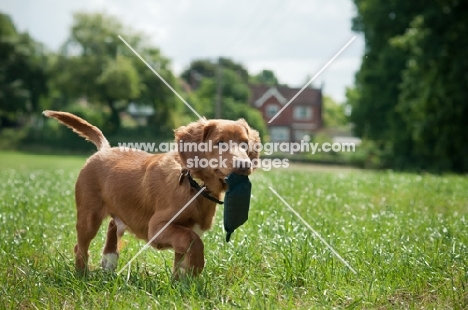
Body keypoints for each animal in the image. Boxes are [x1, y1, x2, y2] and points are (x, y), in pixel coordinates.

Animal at [43, 110, 260, 278]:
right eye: (220, 143)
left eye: (245, 145)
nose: (244, 166)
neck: (195, 187)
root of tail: (105, 149)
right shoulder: (157, 228)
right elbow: (194, 241)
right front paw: (197, 268)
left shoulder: (185, 229)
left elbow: (183, 254)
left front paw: (181, 285)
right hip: (89, 215)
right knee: (81, 247)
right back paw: (82, 275)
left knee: (113, 224)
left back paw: (109, 261)